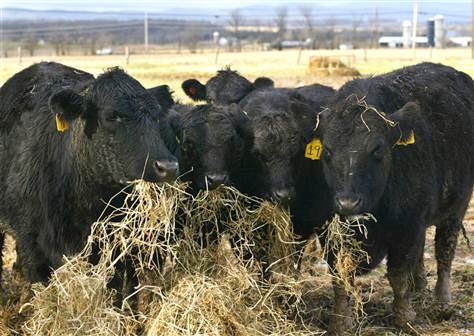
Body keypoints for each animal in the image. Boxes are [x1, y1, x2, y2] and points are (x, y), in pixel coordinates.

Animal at [312, 63, 472, 334]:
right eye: (328, 151)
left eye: (376, 149)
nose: (348, 203)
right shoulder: (331, 233)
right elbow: (340, 276)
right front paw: (340, 321)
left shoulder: (407, 227)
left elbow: (398, 274)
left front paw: (404, 317)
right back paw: (420, 288)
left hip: (456, 207)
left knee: (444, 252)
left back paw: (442, 303)